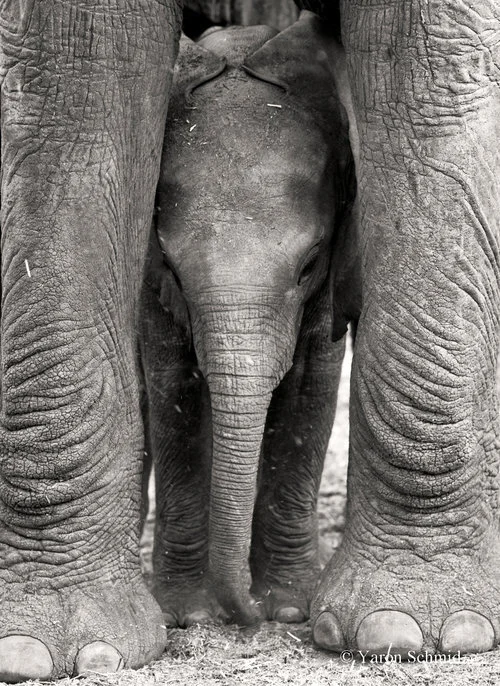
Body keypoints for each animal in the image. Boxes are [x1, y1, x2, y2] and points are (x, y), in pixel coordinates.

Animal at [139, 18, 357, 629]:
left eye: (308, 265)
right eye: (173, 269)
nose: (249, 614)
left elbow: (309, 390)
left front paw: (288, 608)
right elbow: (174, 393)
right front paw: (187, 614)